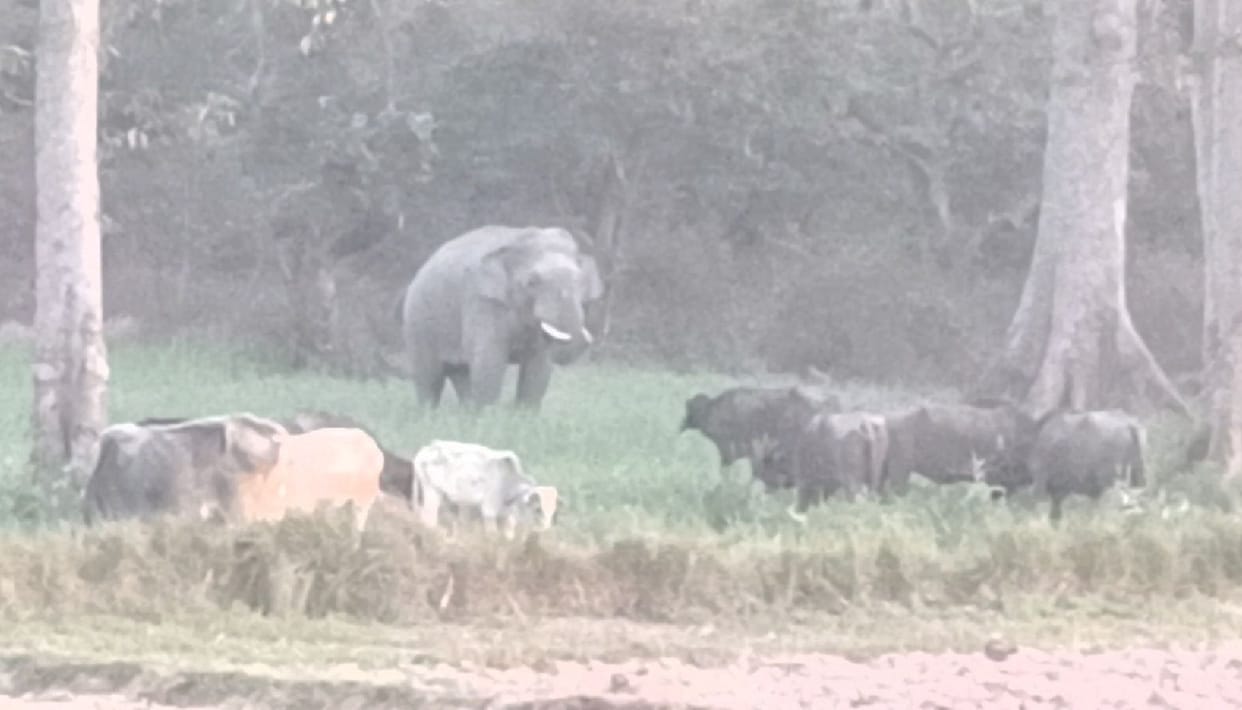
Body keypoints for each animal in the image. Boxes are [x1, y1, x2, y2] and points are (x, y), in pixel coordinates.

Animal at [400, 225, 604, 410]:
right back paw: (429, 415)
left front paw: (524, 417)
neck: (515, 239)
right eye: (532, 282)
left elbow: (538, 365)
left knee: (461, 373)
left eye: (581, 280)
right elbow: (488, 360)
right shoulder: (482, 301)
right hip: (417, 322)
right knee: (430, 377)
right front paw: (488, 418)